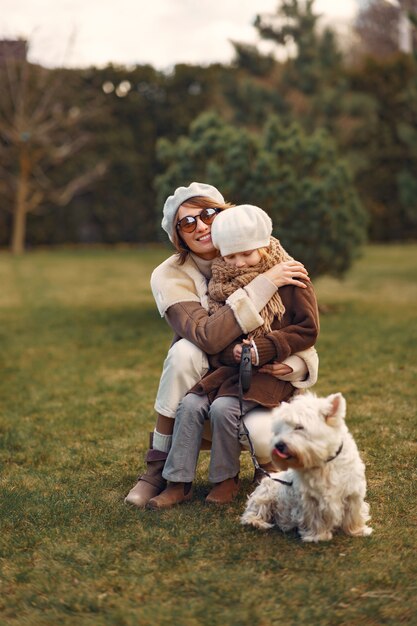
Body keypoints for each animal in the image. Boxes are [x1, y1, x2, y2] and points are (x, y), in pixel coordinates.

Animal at [239, 392, 372, 540]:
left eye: (299, 427)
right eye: (278, 431)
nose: (278, 445)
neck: (324, 465)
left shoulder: (352, 493)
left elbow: (354, 514)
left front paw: (358, 531)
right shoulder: (310, 499)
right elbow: (315, 518)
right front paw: (318, 537)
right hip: (265, 495)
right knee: (253, 511)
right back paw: (258, 522)